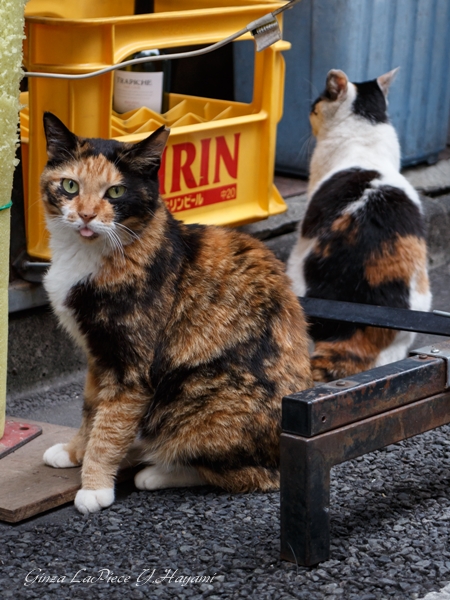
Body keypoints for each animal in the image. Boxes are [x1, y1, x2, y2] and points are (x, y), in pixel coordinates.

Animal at [39, 113, 312, 516]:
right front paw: (74, 453)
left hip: (192, 393)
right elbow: (90, 409)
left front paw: (94, 487)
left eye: (115, 193)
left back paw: (156, 471)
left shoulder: (131, 367)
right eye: (70, 186)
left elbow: (109, 425)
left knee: (251, 475)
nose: (86, 215)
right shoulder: (98, 354)